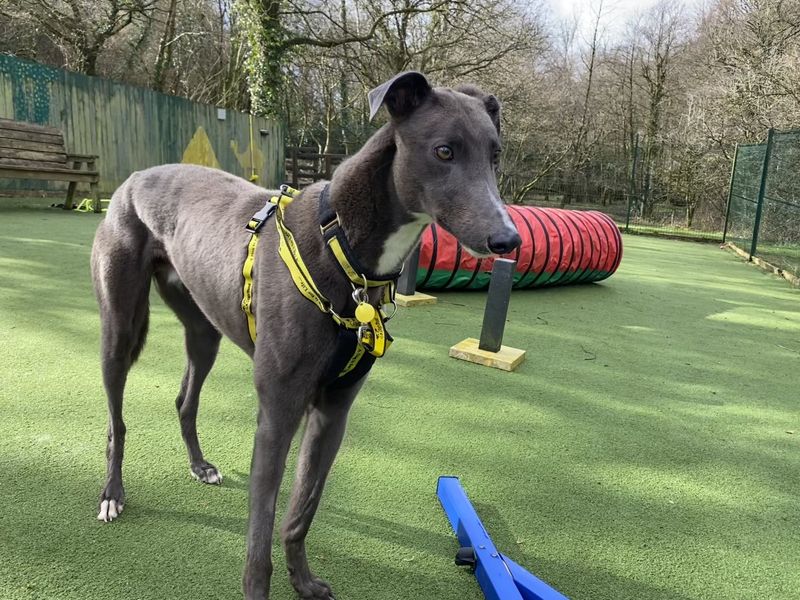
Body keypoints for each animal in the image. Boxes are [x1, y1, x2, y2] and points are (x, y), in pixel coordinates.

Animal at [90, 71, 520, 600]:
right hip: (120, 326)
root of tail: (132, 179)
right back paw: (112, 494)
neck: (343, 248)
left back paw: (200, 465)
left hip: (204, 331)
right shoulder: (278, 412)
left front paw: (305, 581)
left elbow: (300, 512)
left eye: (495, 154)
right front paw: (260, 588)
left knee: (185, 399)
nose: (509, 240)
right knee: (117, 421)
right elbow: (261, 532)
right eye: (444, 151)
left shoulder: (332, 412)